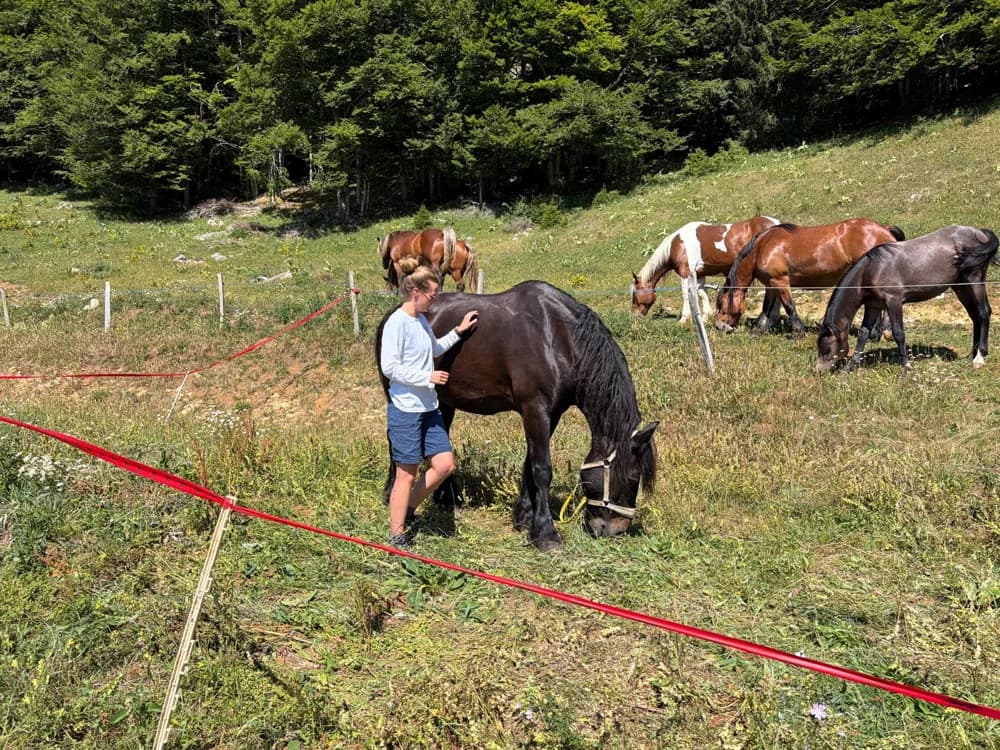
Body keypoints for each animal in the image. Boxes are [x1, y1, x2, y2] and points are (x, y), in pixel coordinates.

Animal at [375, 281, 659, 551]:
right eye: (633, 478)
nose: (616, 530)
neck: (558, 338)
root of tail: (391, 313)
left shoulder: (550, 414)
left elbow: (529, 464)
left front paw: (524, 517)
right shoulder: (535, 409)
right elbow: (543, 469)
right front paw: (545, 534)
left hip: (444, 402)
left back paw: (445, 497)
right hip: (396, 396)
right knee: (393, 442)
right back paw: (391, 493)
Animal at [631, 216, 780, 322]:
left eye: (634, 295)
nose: (635, 316)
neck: (678, 245)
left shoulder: (685, 273)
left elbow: (686, 294)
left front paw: (683, 319)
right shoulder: (699, 274)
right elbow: (702, 293)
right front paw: (705, 317)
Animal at [714, 219, 906, 338]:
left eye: (721, 305)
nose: (719, 327)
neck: (763, 247)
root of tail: (885, 229)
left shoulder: (780, 281)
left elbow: (789, 307)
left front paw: (797, 333)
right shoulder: (771, 284)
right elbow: (766, 309)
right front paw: (757, 331)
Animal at [815, 225, 999, 374]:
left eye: (826, 349)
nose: (818, 371)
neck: (872, 269)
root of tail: (980, 233)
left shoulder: (894, 302)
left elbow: (898, 333)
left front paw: (906, 368)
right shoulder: (873, 306)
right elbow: (863, 334)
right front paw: (849, 368)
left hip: (974, 280)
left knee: (983, 313)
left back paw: (979, 357)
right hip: (961, 286)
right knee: (975, 316)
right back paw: (972, 354)